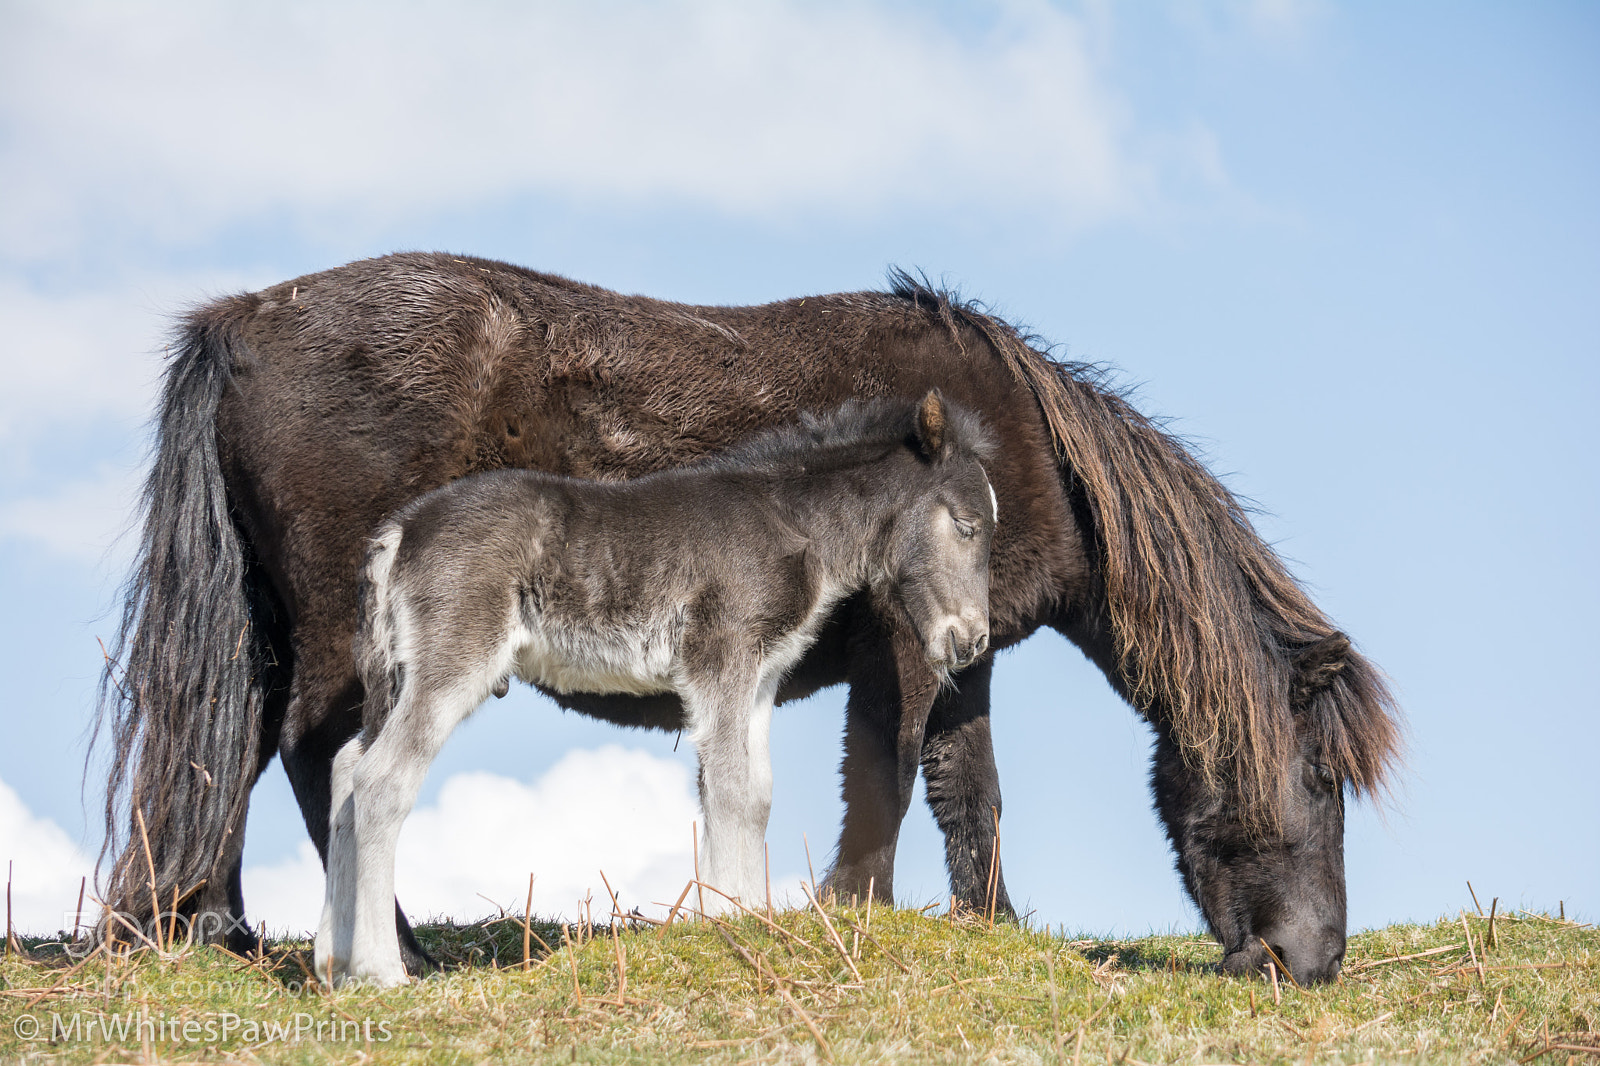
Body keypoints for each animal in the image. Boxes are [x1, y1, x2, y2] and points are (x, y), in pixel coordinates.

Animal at [314, 392, 995, 986]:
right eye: (966, 525)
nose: (972, 640)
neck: (793, 523)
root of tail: (399, 533)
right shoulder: (720, 659)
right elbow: (731, 789)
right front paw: (728, 917)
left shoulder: (760, 676)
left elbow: (756, 793)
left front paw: (742, 914)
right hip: (454, 660)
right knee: (381, 780)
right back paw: (379, 970)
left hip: (396, 674)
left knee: (346, 765)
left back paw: (333, 962)